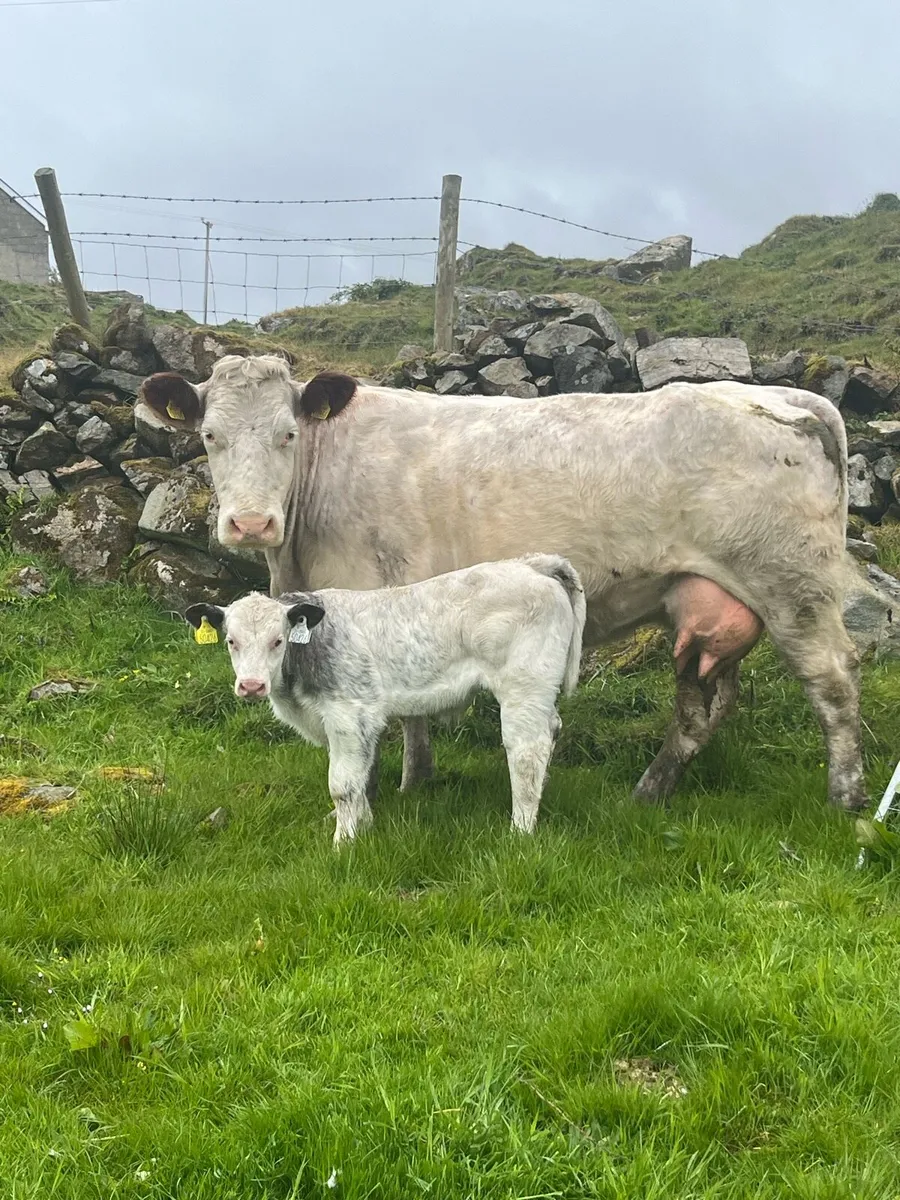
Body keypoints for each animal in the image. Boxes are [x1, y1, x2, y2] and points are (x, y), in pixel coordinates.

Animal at [141, 354, 868, 813]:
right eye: (210, 436)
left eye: (288, 433)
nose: (250, 522)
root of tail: (781, 395)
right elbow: (413, 709)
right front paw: (417, 781)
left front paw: (387, 788)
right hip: (704, 602)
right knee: (701, 709)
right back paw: (648, 794)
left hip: (795, 588)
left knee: (833, 684)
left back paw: (847, 800)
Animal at [184, 555, 586, 843]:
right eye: (231, 640)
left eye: (278, 640)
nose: (251, 686)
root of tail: (531, 564)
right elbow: (362, 776)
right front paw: (360, 824)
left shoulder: (348, 716)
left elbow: (343, 784)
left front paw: (344, 842)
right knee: (550, 732)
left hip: (523, 687)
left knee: (526, 751)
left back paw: (520, 830)